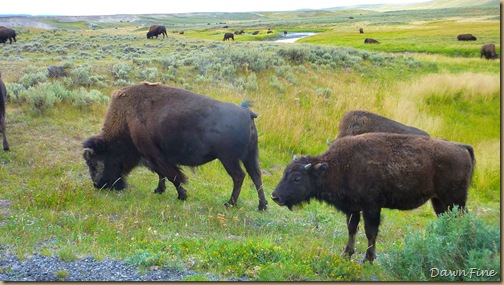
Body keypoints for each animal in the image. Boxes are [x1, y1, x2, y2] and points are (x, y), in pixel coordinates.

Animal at [82, 81, 268, 210]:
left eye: (93, 162)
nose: (98, 185)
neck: (127, 118)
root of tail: (247, 112)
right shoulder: (155, 157)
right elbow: (162, 174)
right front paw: (159, 190)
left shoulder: (155, 156)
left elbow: (173, 176)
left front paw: (181, 196)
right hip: (249, 156)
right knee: (256, 175)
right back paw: (262, 206)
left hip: (229, 158)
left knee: (239, 176)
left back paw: (230, 203)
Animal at [272, 133, 472, 262]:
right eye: (285, 172)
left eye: (297, 178)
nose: (275, 196)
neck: (336, 165)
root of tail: (462, 147)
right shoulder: (353, 208)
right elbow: (352, 229)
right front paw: (347, 253)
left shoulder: (372, 207)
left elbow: (370, 232)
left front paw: (368, 258)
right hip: (439, 201)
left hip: (456, 200)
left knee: (462, 219)